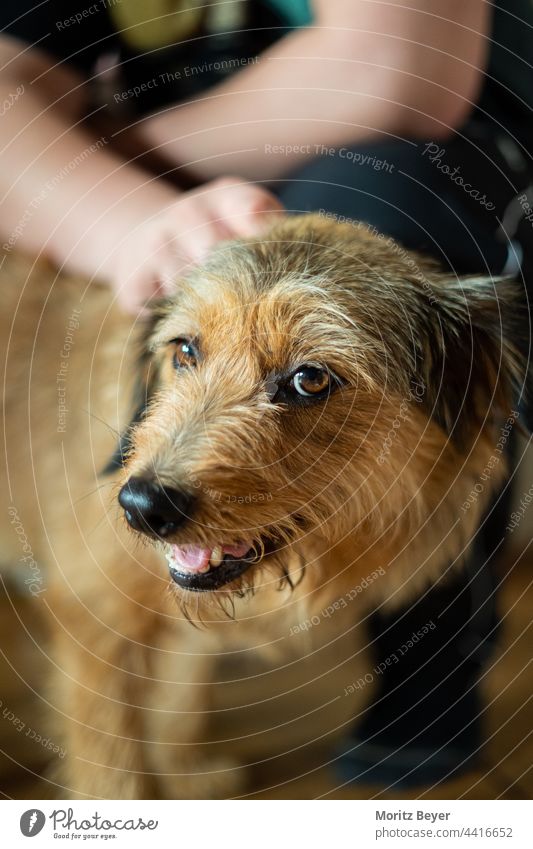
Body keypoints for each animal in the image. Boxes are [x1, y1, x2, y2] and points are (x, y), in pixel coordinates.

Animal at [0, 215, 528, 800]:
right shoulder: (92, 620)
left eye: (310, 378)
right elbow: (112, 761)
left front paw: (183, 773)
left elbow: (182, 692)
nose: (141, 505)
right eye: (185, 351)